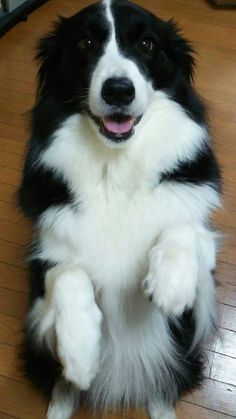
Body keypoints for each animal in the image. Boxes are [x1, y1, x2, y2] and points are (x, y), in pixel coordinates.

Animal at [18, 0, 221, 419]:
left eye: (147, 44)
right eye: (85, 43)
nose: (118, 91)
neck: (117, 167)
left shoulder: (202, 297)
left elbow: (183, 228)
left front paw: (170, 284)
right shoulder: (40, 276)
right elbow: (67, 273)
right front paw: (80, 348)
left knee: (163, 389)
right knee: (63, 390)